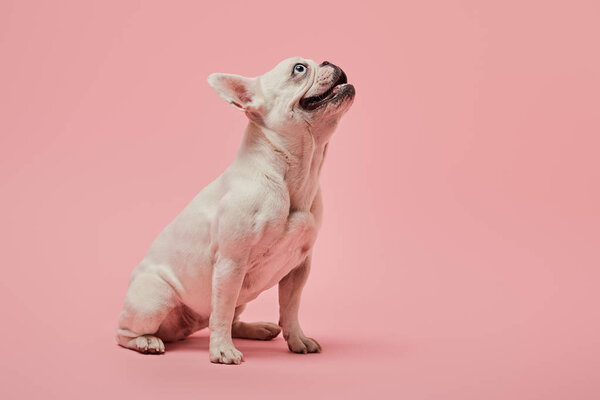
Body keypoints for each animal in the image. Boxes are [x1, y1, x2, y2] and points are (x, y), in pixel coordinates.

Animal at [115, 57, 354, 366]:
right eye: (299, 68)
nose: (328, 61)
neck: (292, 171)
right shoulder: (231, 263)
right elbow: (223, 309)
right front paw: (222, 351)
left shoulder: (298, 268)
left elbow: (290, 307)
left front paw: (297, 339)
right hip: (155, 300)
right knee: (126, 332)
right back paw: (146, 341)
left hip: (242, 296)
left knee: (231, 318)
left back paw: (255, 328)